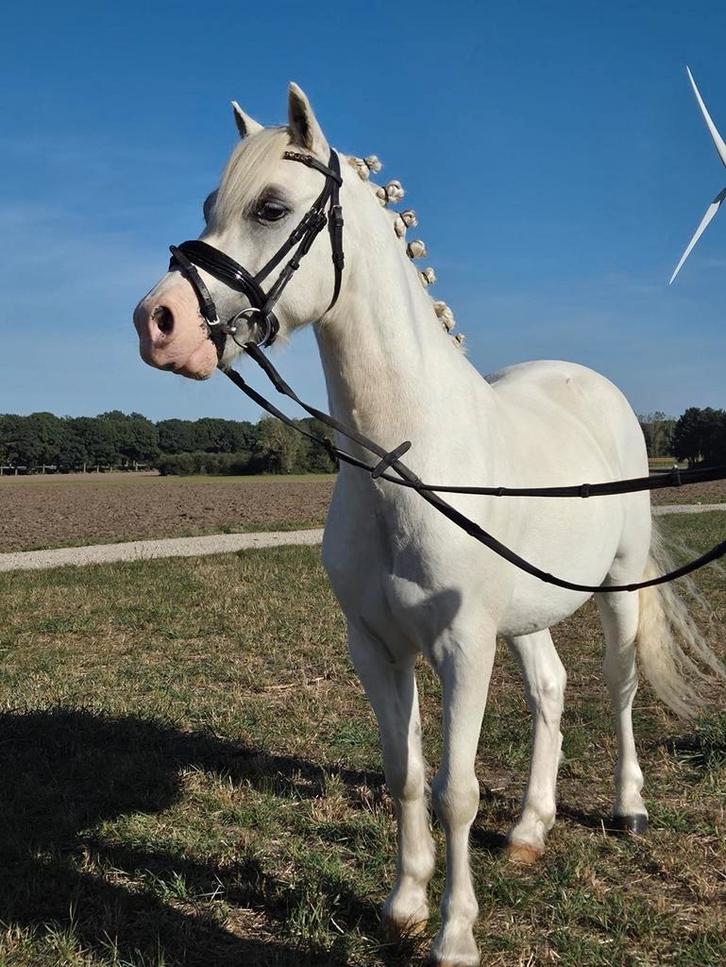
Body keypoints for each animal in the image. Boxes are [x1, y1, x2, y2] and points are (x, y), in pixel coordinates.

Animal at [133, 83, 721, 967]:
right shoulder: (378, 647)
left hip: (618, 586)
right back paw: (531, 827)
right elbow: (404, 773)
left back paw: (628, 808)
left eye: (271, 207)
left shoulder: (462, 648)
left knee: (617, 687)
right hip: (528, 612)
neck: (407, 461)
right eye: (209, 205)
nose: (157, 320)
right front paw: (405, 905)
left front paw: (454, 936)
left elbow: (456, 790)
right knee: (551, 688)